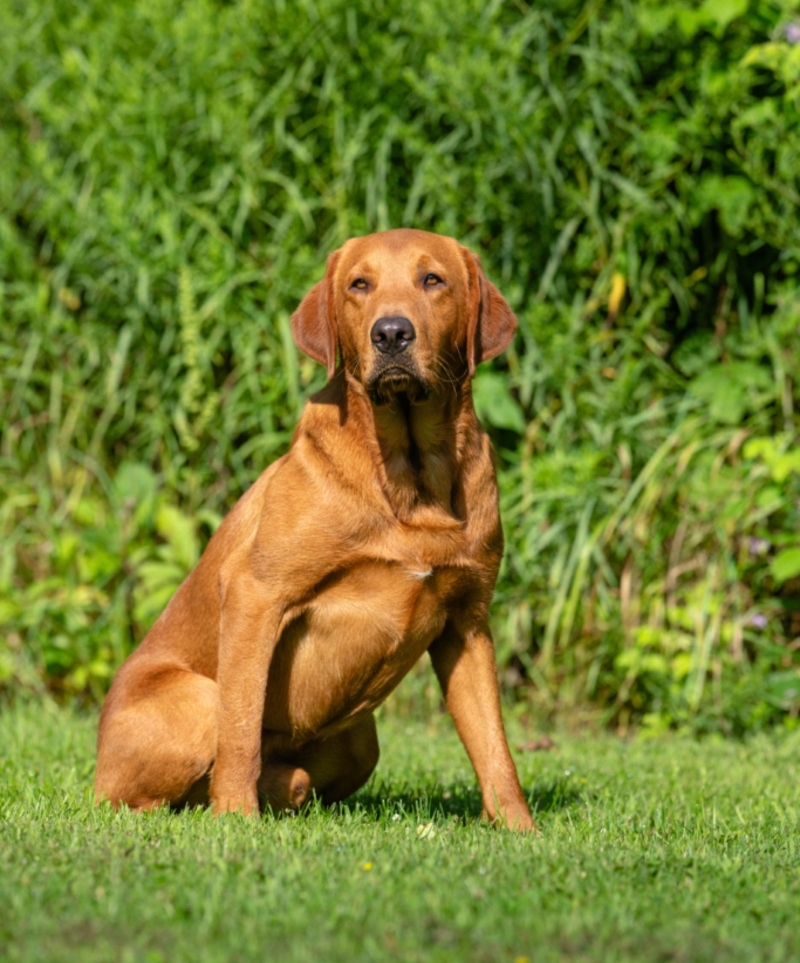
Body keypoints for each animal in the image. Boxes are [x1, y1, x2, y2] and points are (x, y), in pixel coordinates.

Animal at [94, 230, 536, 832]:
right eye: (359, 284)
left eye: (433, 280)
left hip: (360, 742)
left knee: (295, 779)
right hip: (197, 701)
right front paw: (236, 818)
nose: (391, 333)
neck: (409, 479)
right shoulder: (255, 594)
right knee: (148, 796)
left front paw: (521, 829)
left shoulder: (467, 623)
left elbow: (494, 746)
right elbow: (240, 731)